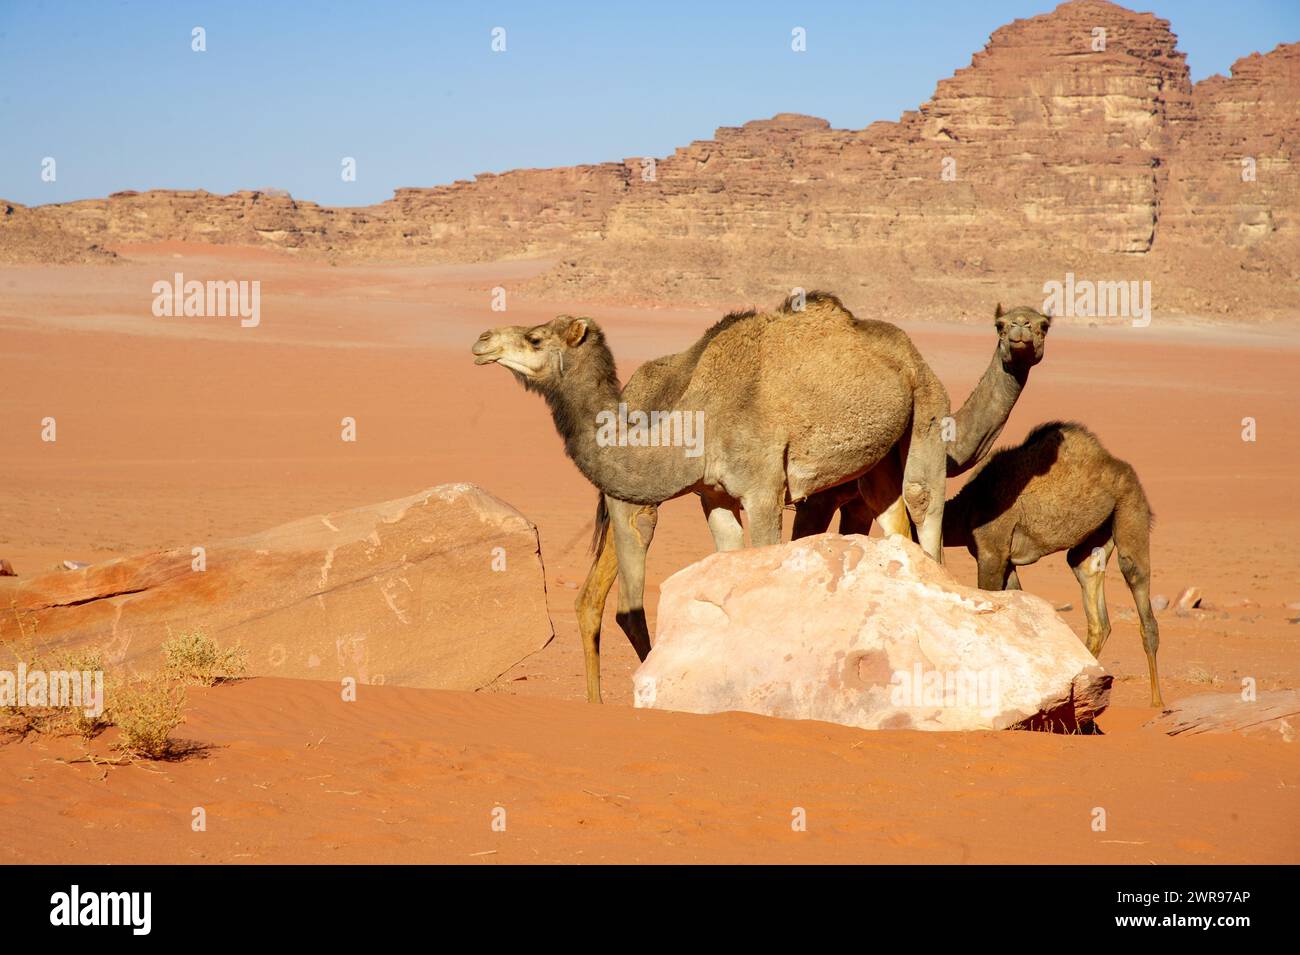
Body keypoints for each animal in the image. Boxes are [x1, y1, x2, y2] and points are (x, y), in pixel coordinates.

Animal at [473, 291, 951, 701]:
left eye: (535, 338)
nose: (483, 341)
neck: (697, 419)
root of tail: (911, 352)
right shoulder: (714, 496)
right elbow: (728, 564)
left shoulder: (763, 491)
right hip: (878, 458)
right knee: (893, 519)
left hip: (928, 410)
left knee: (924, 508)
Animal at [941, 420, 1164, 706]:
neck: (966, 507)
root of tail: (1118, 465)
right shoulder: (1007, 560)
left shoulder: (991, 551)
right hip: (1094, 538)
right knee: (1096, 608)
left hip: (1130, 507)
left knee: (1139, 591)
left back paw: (1157, 703)